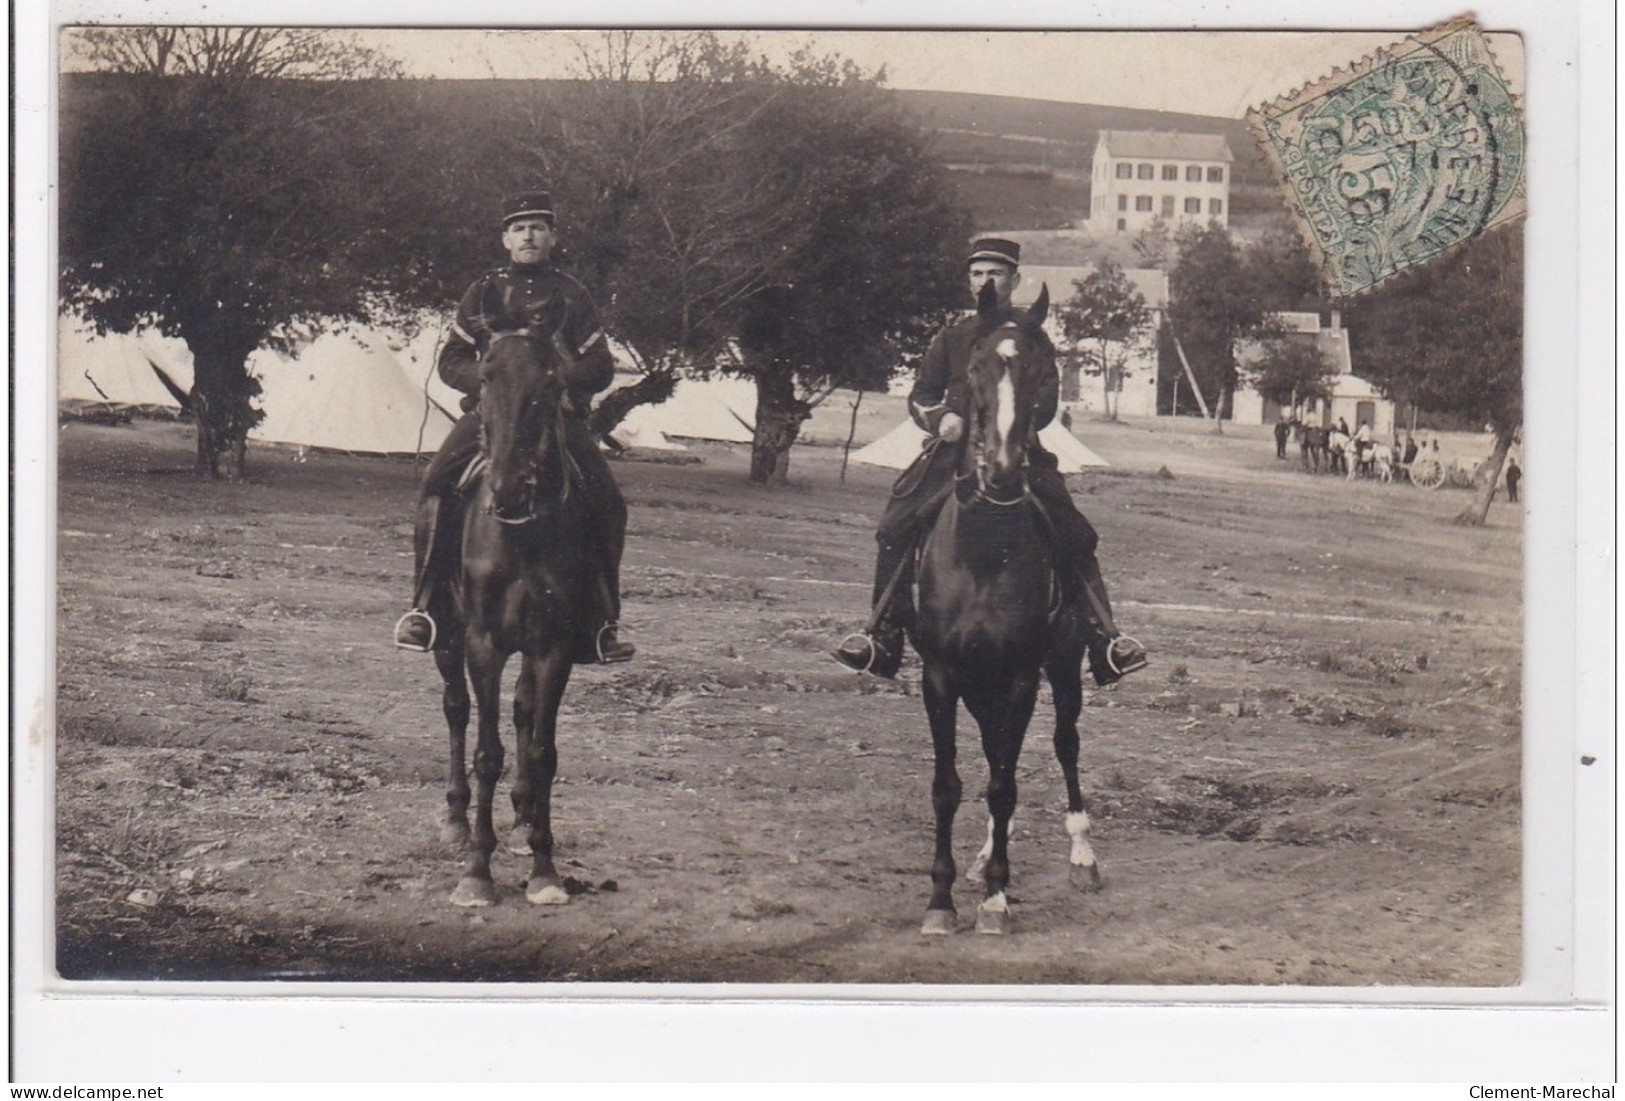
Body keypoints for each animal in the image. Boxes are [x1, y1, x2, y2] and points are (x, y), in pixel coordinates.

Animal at [432, 315, 598, 909]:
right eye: (484, 378)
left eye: (548, 386)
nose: (506, 488)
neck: (522, 533)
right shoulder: (484, 644)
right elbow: (487, 752)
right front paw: (478, 872)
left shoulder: (553, 648)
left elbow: (543, 749)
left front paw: (545, 868)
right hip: (447, 637)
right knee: (456, 708)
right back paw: (457, 820)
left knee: (524, 713)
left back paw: (524, 820)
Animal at [916, 280, 1105, 935]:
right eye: (973, 369)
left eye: (1044, 373)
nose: (1000, 471)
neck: (984, 552)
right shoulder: (941, 675)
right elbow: (949, 784)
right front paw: (941, 899)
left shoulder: (1023, 675)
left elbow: (1004, 785)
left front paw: (997, 899)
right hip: (981, 683)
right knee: (997, 750)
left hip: (1065, 668)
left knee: (1064, 745)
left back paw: (1082, 856)